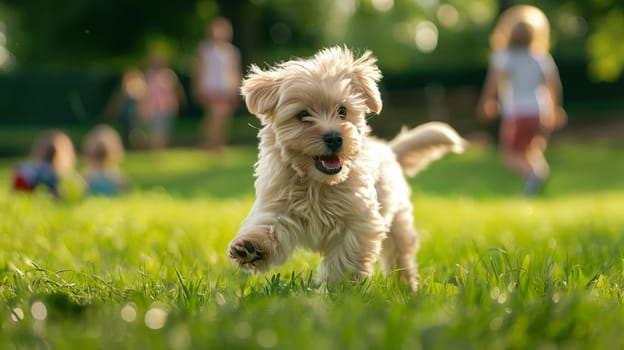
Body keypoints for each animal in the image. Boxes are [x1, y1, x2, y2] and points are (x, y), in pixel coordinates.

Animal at [227, 47, 466, 292]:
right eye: (302, 115)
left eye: (342, 111)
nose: (334, 138)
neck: (317, 183)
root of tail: (388, 149)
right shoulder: (277, 204)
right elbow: (268, 224)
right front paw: (251, 247)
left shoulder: (359, 219)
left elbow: (346, 257)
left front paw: (338, 289)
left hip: (399, 221)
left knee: (401, 254)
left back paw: (405, 286)